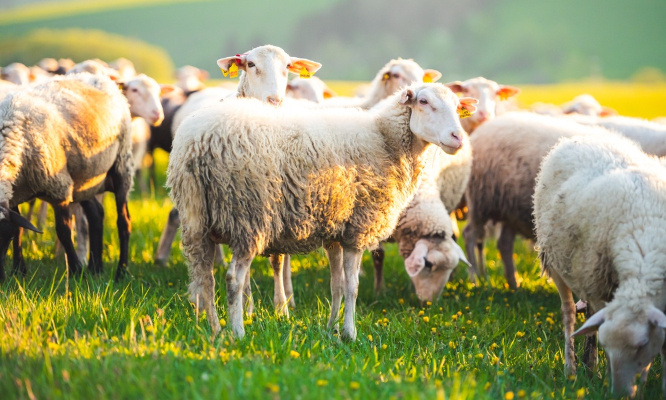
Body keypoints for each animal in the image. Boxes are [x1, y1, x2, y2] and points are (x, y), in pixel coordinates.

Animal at [0, 73, 134, 281]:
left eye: (2, 237)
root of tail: (101, 77)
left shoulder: (59, 188)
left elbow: (63, 231)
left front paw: (76, 271)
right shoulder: (14, 194)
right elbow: (19, 228)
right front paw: (18, 271)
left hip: (122, 165)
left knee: (124, 222)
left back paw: (121, 272)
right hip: (84, 181)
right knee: (96, 214)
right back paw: (96, 269)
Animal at [167, 82, 477, 339]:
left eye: (458, 108)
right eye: (423, 101)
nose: (457, 138)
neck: (385, 142)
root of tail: (197, 143)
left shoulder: (335, 232)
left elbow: (336, 284)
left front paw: (331, 329)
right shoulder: (357, 229)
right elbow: (352, 286)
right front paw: (350, 334)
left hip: (196, 219)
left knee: (204, 278)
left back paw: (214, 331)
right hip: (247, 214)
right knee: (233, 279)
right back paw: (237, 333)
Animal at [462, 112, 610, 289]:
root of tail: (481, 130)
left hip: (510, 209)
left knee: (504, 244)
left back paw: (514, 284)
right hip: (482, 200)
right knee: (470, 235)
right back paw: (474, 279)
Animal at [534, 134, 666, 397]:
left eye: (643, 344)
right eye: (609, 347)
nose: (621, 394)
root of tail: (583, 136)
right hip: (559, 263)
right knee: (571, 313)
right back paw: (573, 369)